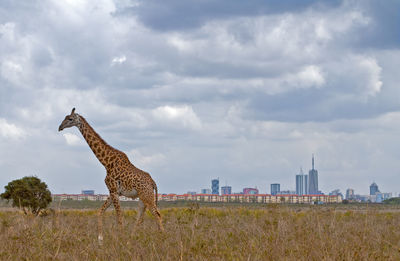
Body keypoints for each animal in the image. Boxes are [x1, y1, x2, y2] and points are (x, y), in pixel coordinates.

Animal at [58, 107, 164, 240]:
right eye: (65, 117)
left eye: (70, 119)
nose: (60, 127)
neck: (106, 163)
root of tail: (153, 182)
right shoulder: (112, 192)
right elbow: (100, 212)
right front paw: (100, 238)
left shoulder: (113, 190)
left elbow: (119, 217)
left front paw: (120, 239)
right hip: (142, 198)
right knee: (140, 218)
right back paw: (132, 238)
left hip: (147, 196)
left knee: (157, 215)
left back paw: (162, 238)